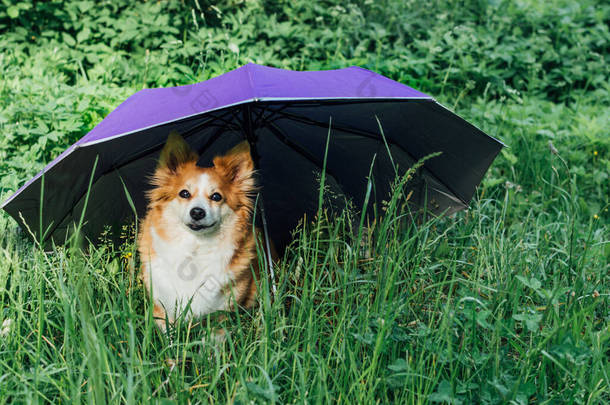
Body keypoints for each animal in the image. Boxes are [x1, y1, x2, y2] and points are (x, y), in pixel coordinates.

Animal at [139, 133, 264, 332]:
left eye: (216, 197)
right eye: (184, 193)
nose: (197, 212)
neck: (195, 247)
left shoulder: (222, 315)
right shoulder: (162, 309)